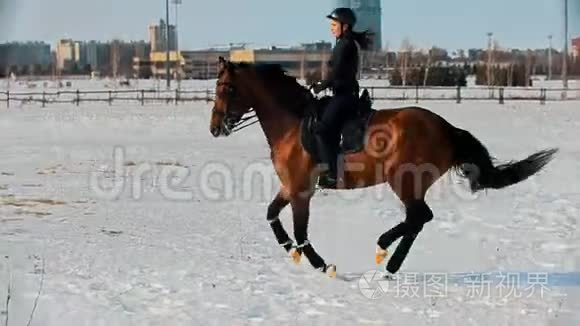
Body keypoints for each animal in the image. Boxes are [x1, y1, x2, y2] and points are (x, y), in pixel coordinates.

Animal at [208, 57, 556, 278]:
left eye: (226, 88)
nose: (215, 128)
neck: (292, 125)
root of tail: (447, 128)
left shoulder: (301, 191)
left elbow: (300, 230)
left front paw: (323, 266)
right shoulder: (290, 187)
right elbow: (271, 215)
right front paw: (290, 250)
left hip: (404, 180)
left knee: (419, 217)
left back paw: (384, 253)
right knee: (417, 220)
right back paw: (387, 261)